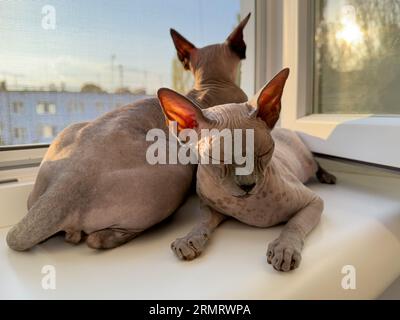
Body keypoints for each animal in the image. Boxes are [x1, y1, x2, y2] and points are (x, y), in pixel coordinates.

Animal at [158, 68, 336, 272]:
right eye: (218, 159)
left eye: (264, 152)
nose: (248, 185)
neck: (247, 207)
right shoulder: (209, 206)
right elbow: (203, 221)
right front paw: (190, 239)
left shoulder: (313, 201)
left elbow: (294, 225)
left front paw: (284, 249)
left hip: (306, 161)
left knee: (316, 162)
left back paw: (327, 176)